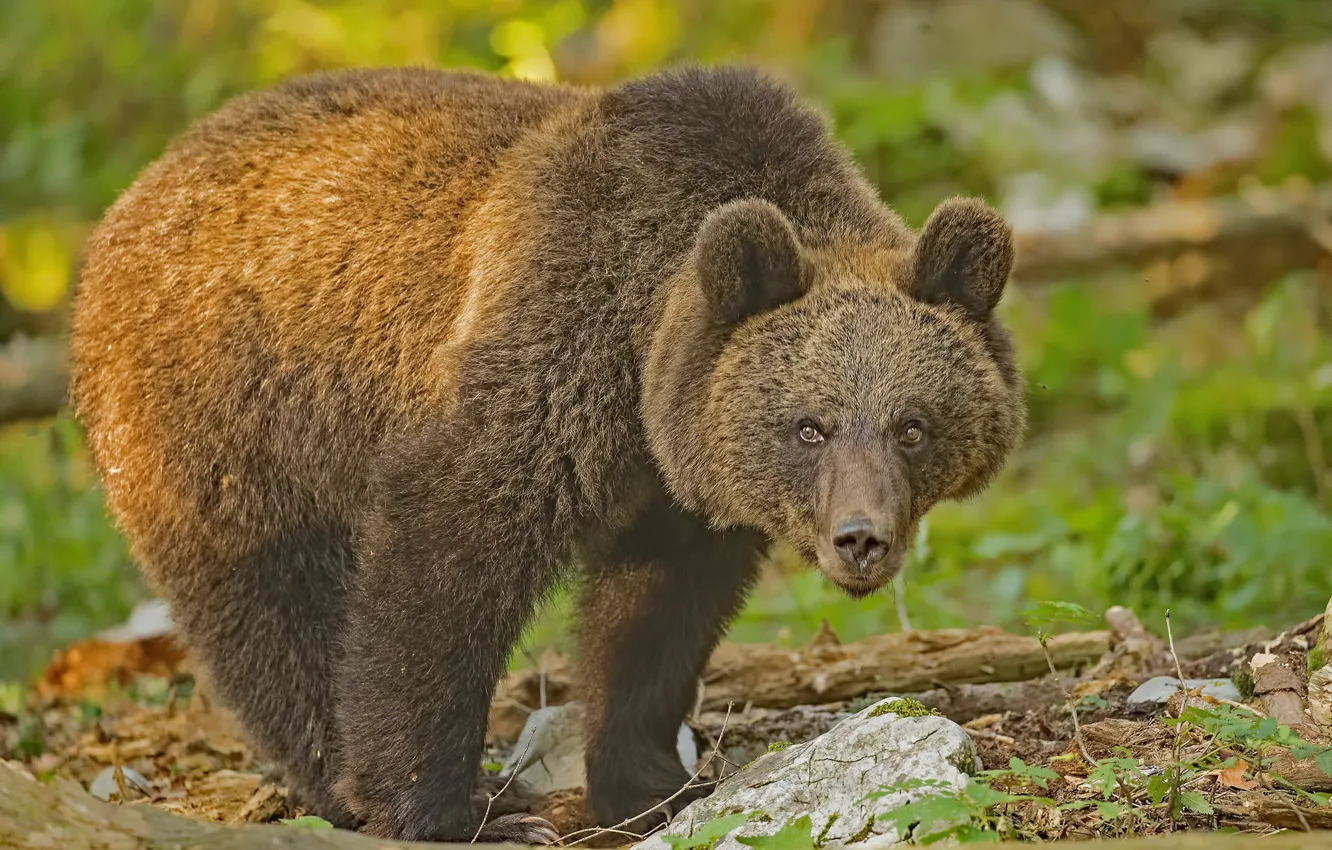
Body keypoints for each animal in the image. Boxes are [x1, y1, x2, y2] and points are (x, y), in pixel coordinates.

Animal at [68, 64, 1026, 842]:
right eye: (809, 425)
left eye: (913, 424)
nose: (860, 538)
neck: (641, 347)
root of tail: (136, 193)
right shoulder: (546, 355)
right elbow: (447, 549)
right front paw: (451, 809)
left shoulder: (672, 479)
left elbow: (656, 615)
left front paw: (652, 777)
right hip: (234, 416)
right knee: (271, 606)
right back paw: (336, 778)